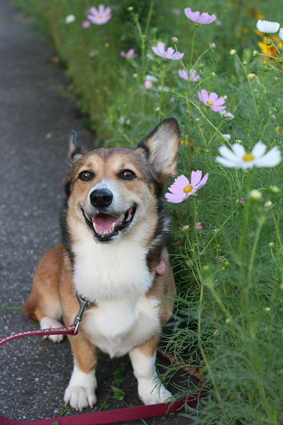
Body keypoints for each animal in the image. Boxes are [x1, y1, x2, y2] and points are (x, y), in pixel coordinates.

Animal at [23, 117, 180, 410]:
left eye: (127, 174)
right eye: (85, 176)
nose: (100, 197)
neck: (112, 259)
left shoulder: (152, 326)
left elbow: (145, 367)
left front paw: (152, 392)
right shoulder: (77, 324)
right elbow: (85, 360)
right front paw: (81, 390)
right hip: (48, 296)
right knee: (38, 309)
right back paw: (52, 327)